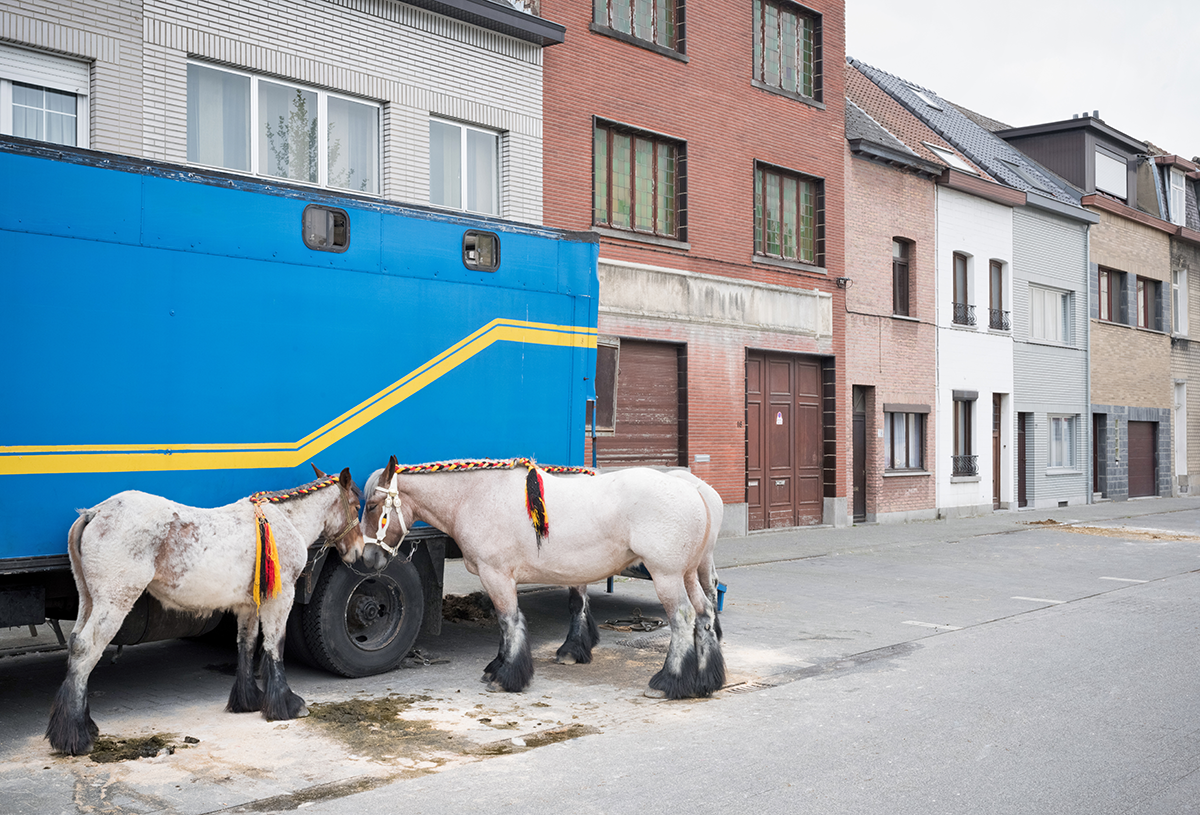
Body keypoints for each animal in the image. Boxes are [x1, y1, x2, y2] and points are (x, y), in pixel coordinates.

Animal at [46, 465, 372, 758]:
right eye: (356, 506)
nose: (360, 553)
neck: (284, 522)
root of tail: (94, 513)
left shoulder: (248, 605)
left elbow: (246, 645)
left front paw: (247, 701)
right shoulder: (281, 598)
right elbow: (274, 645)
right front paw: (286, 704)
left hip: (89, 599)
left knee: (76, 645)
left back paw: (82, 728)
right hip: (113, 602)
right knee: (86, 650)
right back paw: (76, 737)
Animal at [360, 458, 724, 700]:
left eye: (373, 506)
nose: (366, 559)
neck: (475, 496)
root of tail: (694, 490)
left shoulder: (496, 575)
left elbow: (509, 622)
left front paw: (506, 675)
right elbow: (508, 624)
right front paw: (498, 667)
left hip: (667, 575)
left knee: (683, 618)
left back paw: (669, 681)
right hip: (687, 573)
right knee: (704, 613)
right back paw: (707, 678)